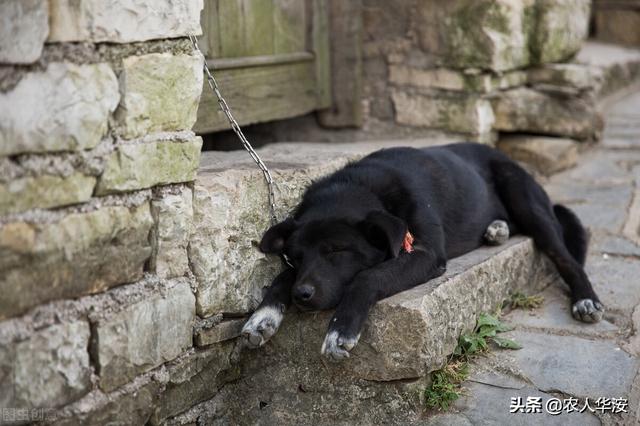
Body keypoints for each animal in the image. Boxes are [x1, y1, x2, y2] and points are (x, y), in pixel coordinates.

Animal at [241, 142, 604, 360]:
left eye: (338, 251)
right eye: (296, 256)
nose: (302, 296)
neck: (362, 187)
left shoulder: (425, 254)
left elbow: (368, 277)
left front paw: (340, 330)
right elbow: (281, 278)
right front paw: (262, 317)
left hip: (525, 198)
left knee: (566, 258)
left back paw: (586, 299)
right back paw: (496, 229)